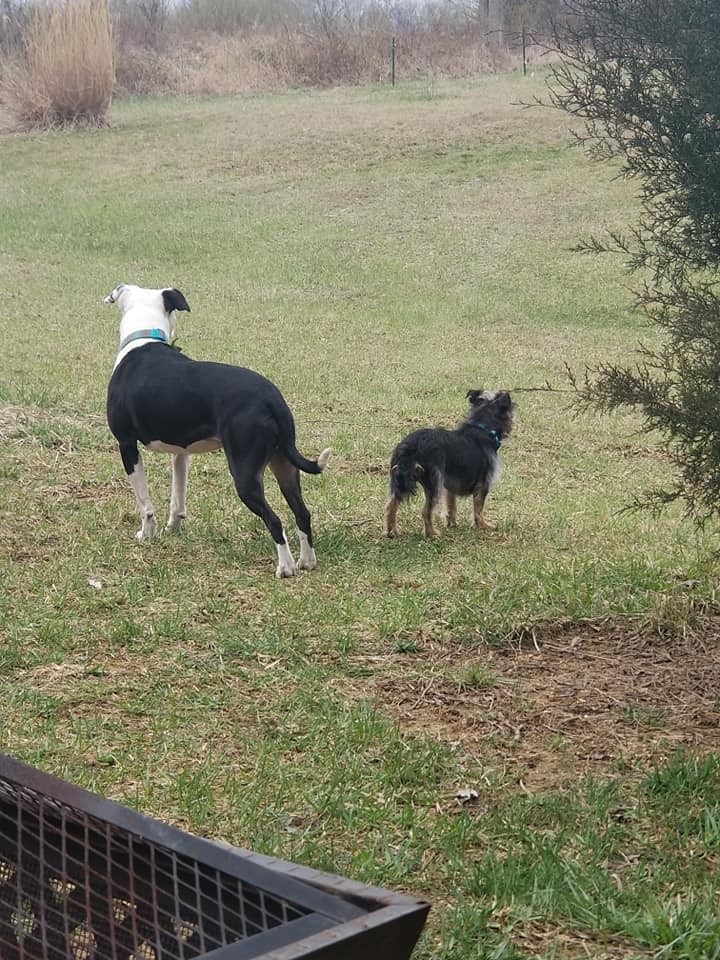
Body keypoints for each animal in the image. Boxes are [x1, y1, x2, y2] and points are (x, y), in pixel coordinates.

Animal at [105, 284, 330, 576]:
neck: (143, 337)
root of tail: (271, 398)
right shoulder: (181, 452)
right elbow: (177, 498)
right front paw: (172, 528)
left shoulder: (126, 444)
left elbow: (145, 502)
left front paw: (147, 533)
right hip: (284, 463)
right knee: (302, 512)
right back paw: (307, 561)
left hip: (245, 474)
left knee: (275, 520)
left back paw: (285, 567)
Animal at [386, 390, 516, 540]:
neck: (483, 428)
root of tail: (410, 446)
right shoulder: (483, 484)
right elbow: (478, 507)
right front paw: (483, 525)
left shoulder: (451, 483)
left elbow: (451, 505)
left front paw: (452, 523)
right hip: (433, 483)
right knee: (425, 511)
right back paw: (432, 533)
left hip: (399, 479)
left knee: (391, 505)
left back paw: (391, 531)